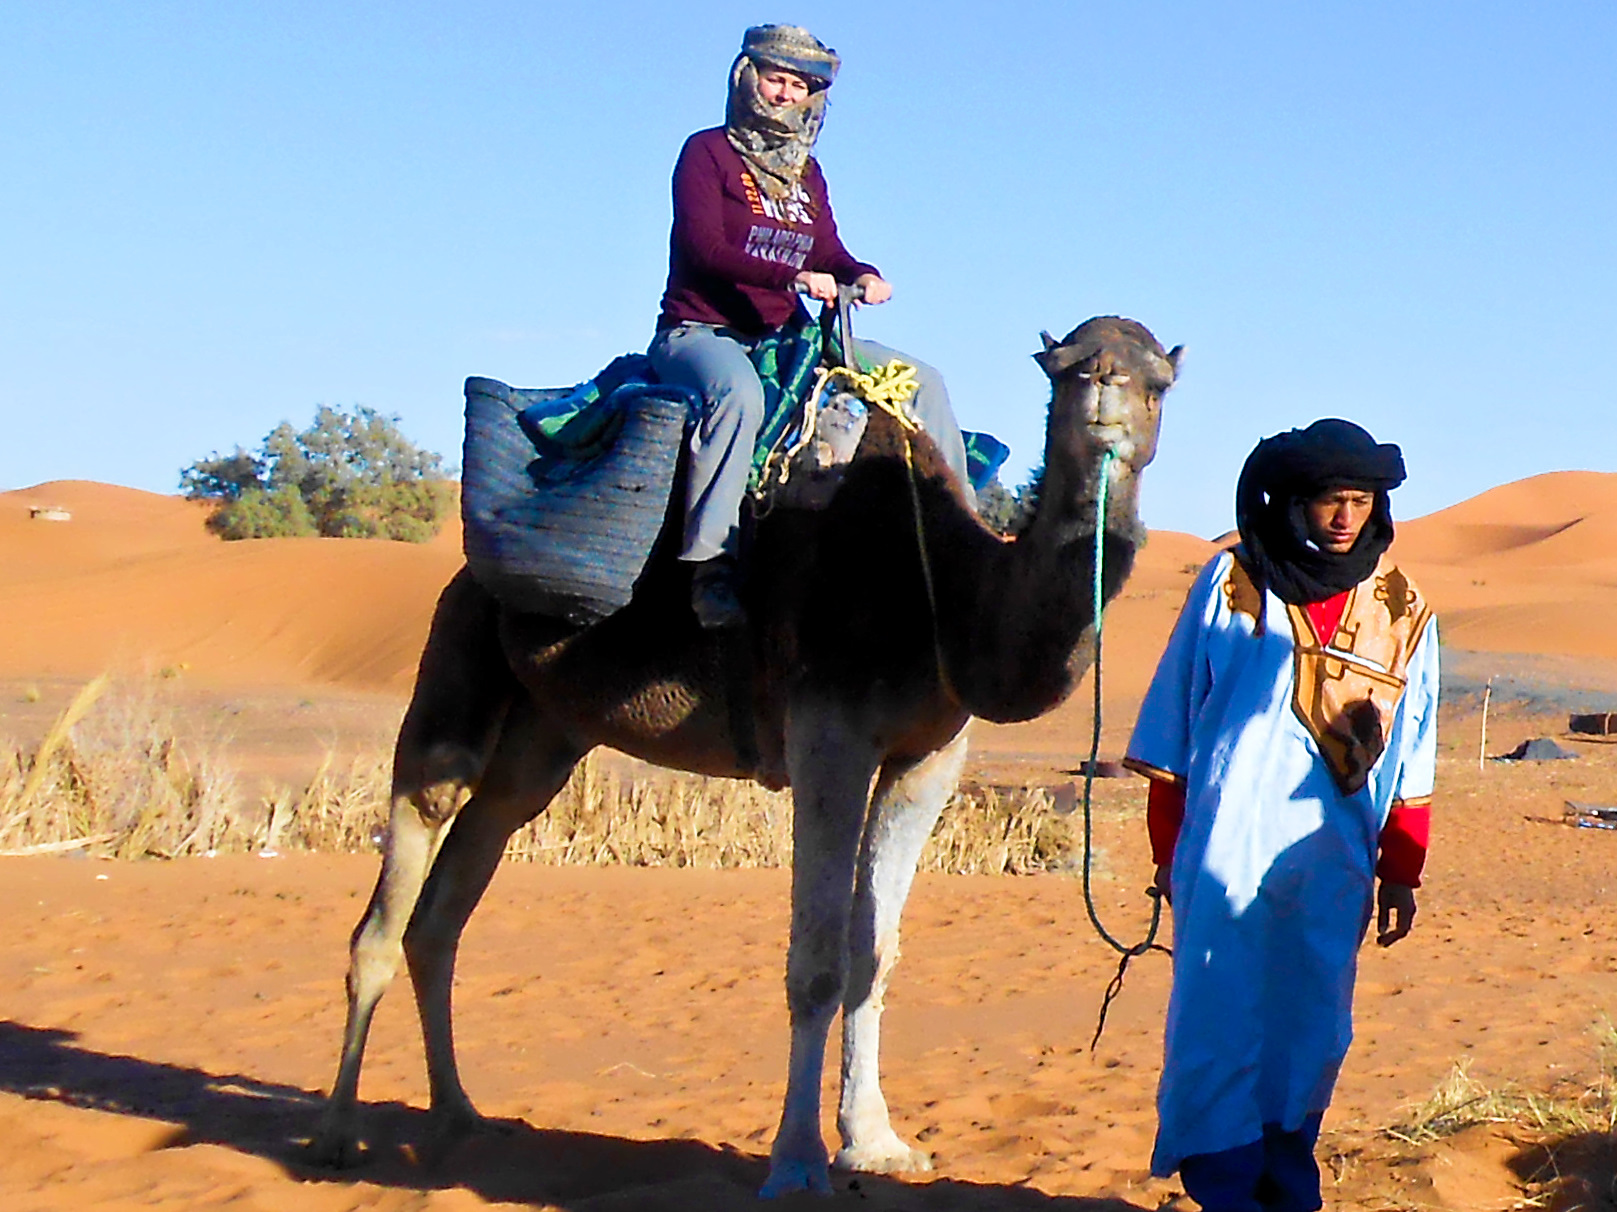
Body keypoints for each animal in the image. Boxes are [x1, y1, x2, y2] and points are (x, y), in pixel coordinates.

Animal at [308, 315, 1183, 1195]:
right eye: (1061, 368)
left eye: (1158, 382)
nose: (1104, 388)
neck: (947, 593)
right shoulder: (828, 732)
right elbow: (818, 962)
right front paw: (796, 1162)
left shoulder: (926, 760)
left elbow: (873, 953)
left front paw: (877, 1142)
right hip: (459, 661)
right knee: (397, 882)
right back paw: (339, 1137)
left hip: (543, 736)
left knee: (449, 902)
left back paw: (458, 1116)